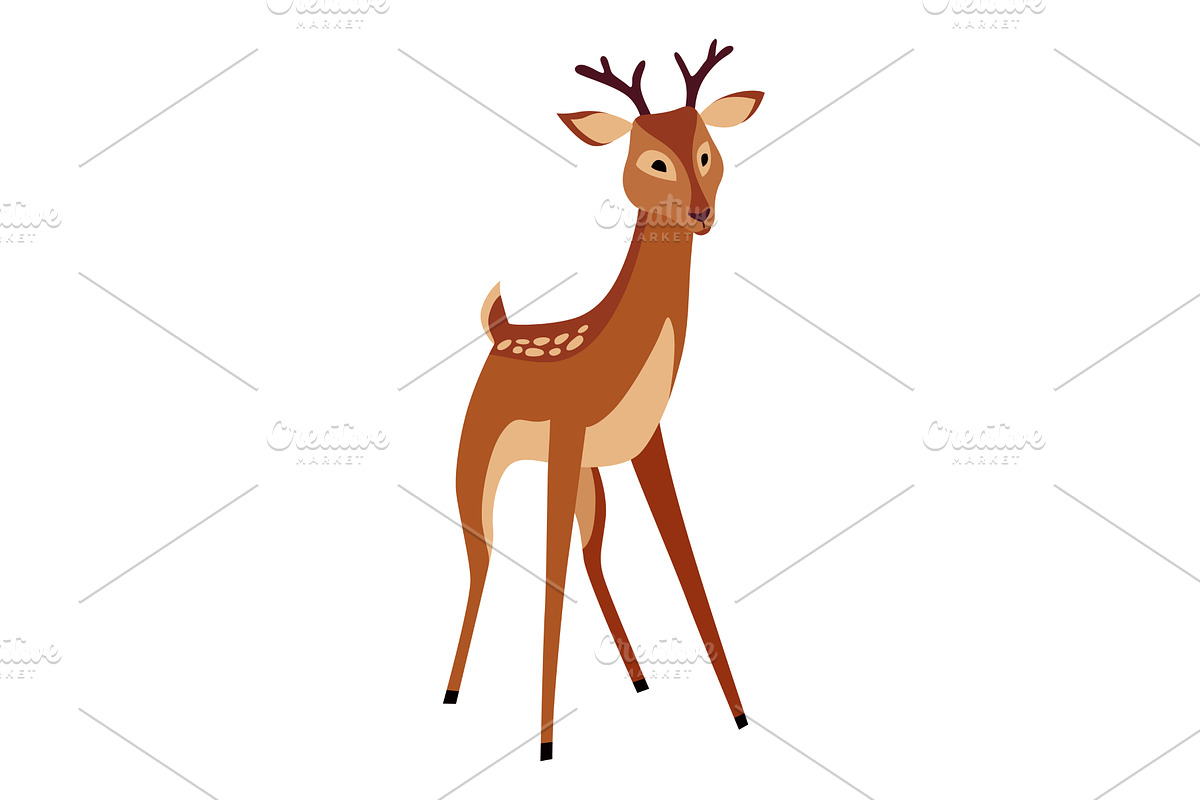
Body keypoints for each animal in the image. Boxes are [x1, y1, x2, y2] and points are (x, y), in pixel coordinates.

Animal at [442, 40, 764, 761]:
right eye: (653, 160)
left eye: (707, 149)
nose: (701, 214)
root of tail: (499, 329)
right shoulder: (564, 440)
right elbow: (549, 571)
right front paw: (544, 746)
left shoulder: (646, 446)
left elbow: (687, 565)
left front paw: (741, 717)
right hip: (479, 458)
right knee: (483, 555)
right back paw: (450, 692)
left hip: (593, 477)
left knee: (589, 556)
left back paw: (640, 680)